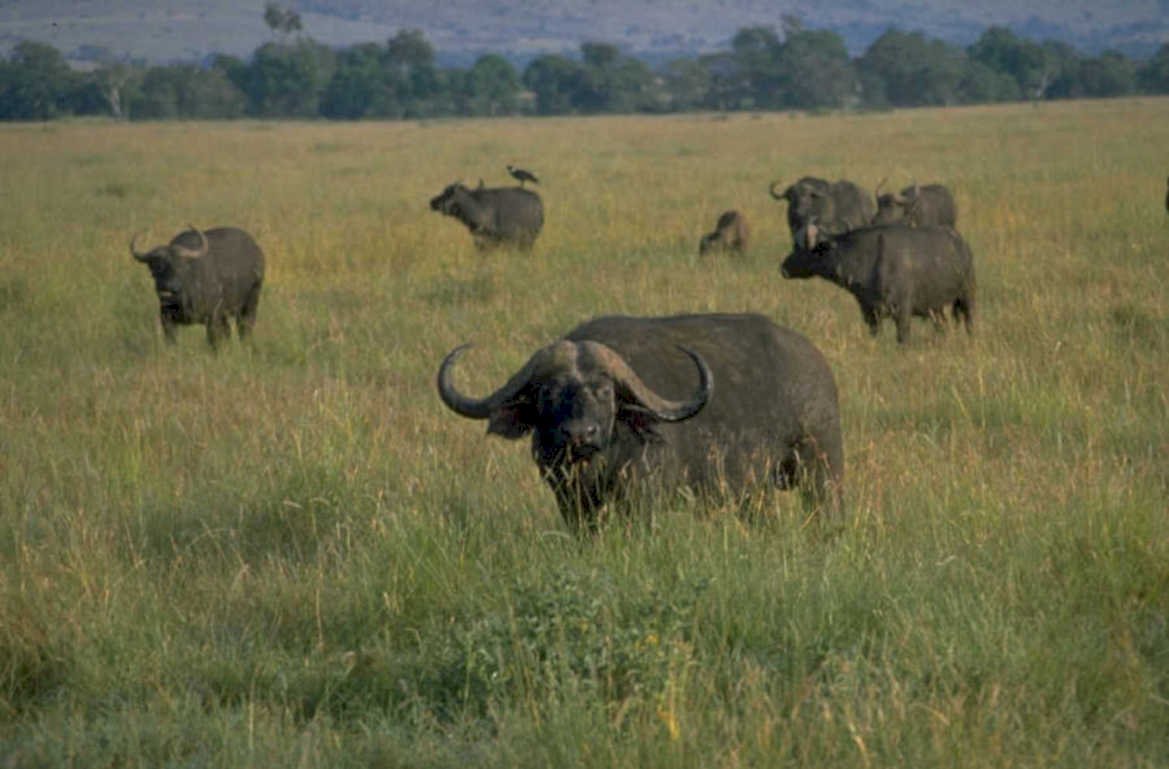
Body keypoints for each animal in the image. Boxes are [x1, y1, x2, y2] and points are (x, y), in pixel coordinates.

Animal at [131, 225, 265, 349]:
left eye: (182, 267)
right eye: (158, 266)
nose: (171, 287)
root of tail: (256, 250)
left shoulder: (212, 317)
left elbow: (214, 341)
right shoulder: (167, 319)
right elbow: (171, 342)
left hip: (251, 302)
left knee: (245, 327)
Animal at [437, 313, 844, 535]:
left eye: (605, 392)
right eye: (547, 393)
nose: (580, 434)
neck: (600, 463)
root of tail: (816, 363)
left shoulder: (641, 498)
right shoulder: (569, 501)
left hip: (822, 468)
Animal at [781, 222, 975, 344]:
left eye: (799, 247)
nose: (783, 267)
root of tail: (962, 244)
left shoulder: (902, 311)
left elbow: (903, 338)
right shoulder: (870, 313)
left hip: (966, 296)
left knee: (969, 322)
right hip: (936, 308)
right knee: (942, 325)